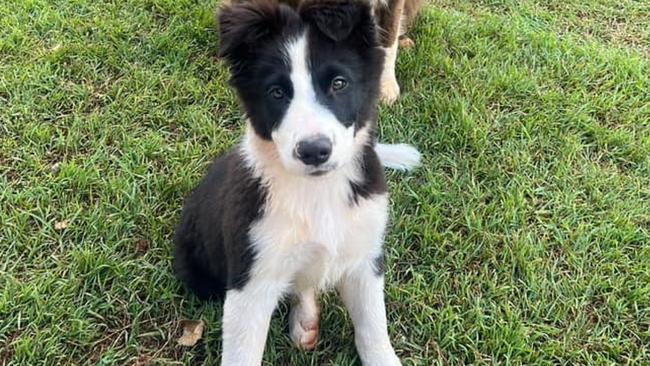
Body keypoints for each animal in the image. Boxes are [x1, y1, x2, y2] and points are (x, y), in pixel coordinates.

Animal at [170, 1, 418, 364]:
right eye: (276, 93)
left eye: (339, 83)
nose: (314, 151)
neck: (316, 192)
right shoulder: (251, 283)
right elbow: (242, 354)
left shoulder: (365, 260)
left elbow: (374, 331)